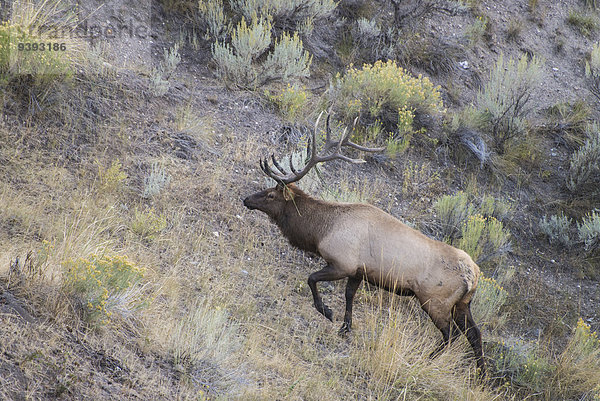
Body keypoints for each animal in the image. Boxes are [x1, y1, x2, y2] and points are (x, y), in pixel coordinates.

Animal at [245, 112, 488, 372]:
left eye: (271, 194)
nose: (246, 199)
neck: (321, 230)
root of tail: (473, 275)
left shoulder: (342, 263)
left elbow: (311, 279)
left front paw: (327, 312)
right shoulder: (359, 271)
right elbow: (349, 295)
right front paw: (345, 327)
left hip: (435, 301)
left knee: (451, 335)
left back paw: (426, 360)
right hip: (463, 304)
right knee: (475, 335)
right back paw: (481, 375)